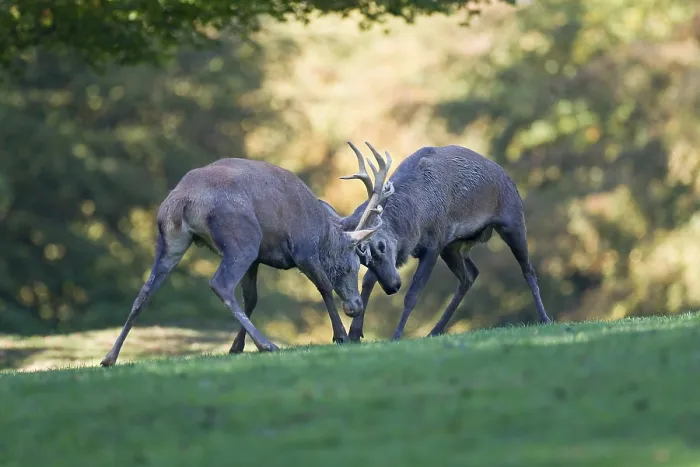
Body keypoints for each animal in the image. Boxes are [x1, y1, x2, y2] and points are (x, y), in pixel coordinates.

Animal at [99, 153, 393, 367]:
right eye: (354, 264)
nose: (355, 306)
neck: (322, 233)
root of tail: (183, 200)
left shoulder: (259, 259)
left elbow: (251, 299)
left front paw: (235, 347)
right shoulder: (303, 248)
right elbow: (324, 287)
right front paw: (340, 335)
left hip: (170, 240)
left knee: (144, 292)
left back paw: (109, 358)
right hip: (243, 236)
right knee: (220, 283)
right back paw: (267, 344)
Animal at [330, 142, 552, 343]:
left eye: (381, 245)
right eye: (362, 260)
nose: (392, 286)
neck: (415, 221)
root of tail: (508, 178)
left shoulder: (433, 244)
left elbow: (412, 294)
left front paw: (396, 335)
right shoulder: (436, 245)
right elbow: (368, 280)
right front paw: (354, 334)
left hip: (512, 220)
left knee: (528, 270)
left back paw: (545, 318)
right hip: (454, 245)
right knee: (470, 275)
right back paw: (435, 330)